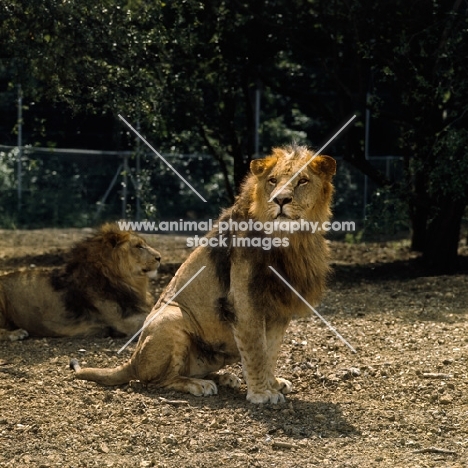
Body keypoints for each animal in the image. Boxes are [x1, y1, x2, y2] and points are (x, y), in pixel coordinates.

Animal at [71, 145, 336, 402]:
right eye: (272, 180)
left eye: (302, 181)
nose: (280, 200)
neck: (292, 241)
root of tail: (133, 360)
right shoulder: (245, 302)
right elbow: (256, 349)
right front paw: (261, 394)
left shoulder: (279, 307)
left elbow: (270, 350)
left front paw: (272, 383)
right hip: (171, 318)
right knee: (159, 380)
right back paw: (199, 385)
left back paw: (224, 378)